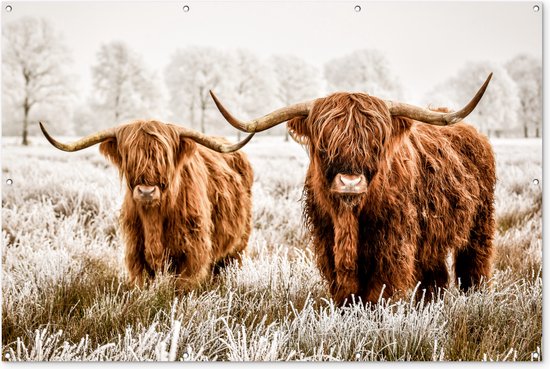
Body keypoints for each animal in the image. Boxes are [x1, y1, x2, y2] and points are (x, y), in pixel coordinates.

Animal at [40, 121, 256, 290]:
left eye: (164, 158)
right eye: (130, 158)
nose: (146, 192)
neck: (154, 219)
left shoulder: (193, 255)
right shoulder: (136, 254)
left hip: (237, 247)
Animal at [209, 73, 498, 304]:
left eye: (376, 142)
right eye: (325, 143)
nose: (350, 182)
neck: (349, 218)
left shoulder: (393, 246)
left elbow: (379, 292)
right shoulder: (327, 242)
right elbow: (345, 292)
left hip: (480, 224)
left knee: (473, 266)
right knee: (435, 276)